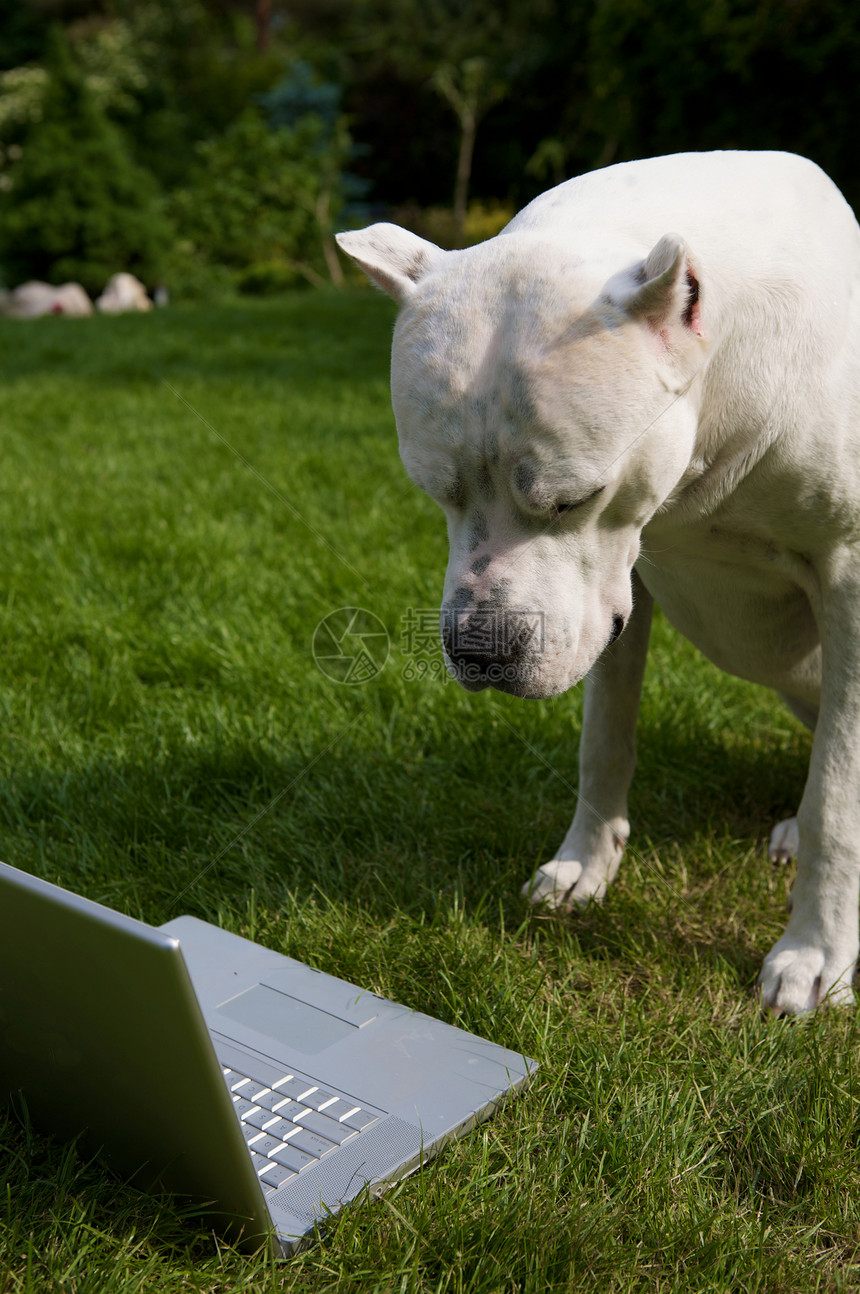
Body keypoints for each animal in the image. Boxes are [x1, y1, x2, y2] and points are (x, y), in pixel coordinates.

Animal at [336, 151, 860, 1014]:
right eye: (434, 490)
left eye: (572, 498)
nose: (480, 649)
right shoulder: (620, 591)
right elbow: (604, 740)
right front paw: (586, 866)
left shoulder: (849, 587)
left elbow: (837, 798)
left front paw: (815, 950)